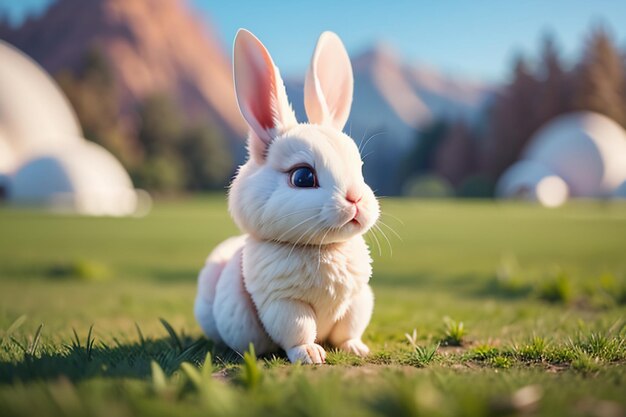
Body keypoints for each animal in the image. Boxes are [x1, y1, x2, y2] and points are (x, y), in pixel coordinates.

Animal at [195, 28, 378, 364]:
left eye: (360, 168)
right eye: (303, 177)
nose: (355, 200)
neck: (321, 248)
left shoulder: (357, 299)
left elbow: (349, 330)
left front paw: (357, 349)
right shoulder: (283, 304)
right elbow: (298, 331)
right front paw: (311, 355)